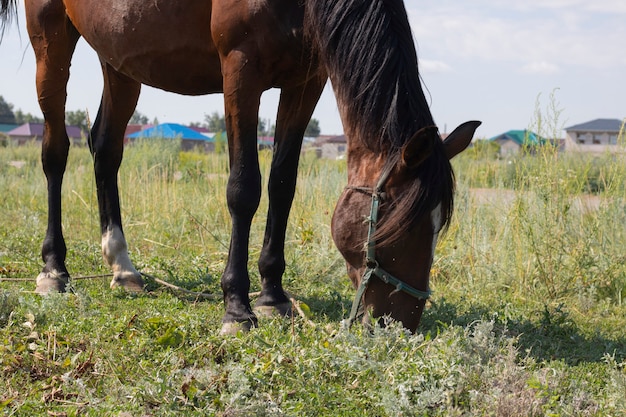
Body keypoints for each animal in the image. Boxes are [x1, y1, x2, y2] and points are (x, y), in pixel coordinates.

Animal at [0, 0, 480, 332]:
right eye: (398, 227)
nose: (400, 324)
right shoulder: (241, 68)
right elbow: (244, 188)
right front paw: (237, 306)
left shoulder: (305, 81)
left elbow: (283, 184)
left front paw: (273, 296)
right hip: (51, 38)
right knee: (55, 152)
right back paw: (54, 270)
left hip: (119, 56)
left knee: (106, 148)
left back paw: (123, 266)